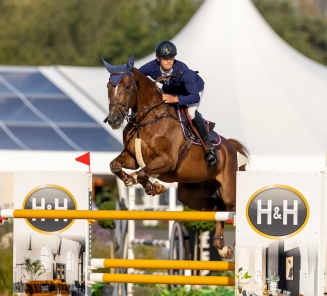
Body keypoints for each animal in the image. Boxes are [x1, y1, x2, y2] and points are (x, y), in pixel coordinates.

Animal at [102, 55, 249, 260]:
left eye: (128, 87)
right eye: (109, 87)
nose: (114, 120)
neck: (146, 119)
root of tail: (232, 148)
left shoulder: (168, 161)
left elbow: (143, 173)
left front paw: (154, 187)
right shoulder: (132, 158)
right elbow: (115, 166)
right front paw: (131, 180)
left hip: (229, 189)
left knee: (232, 206)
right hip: (192, 194)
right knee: (219, 208)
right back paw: (222, 246)